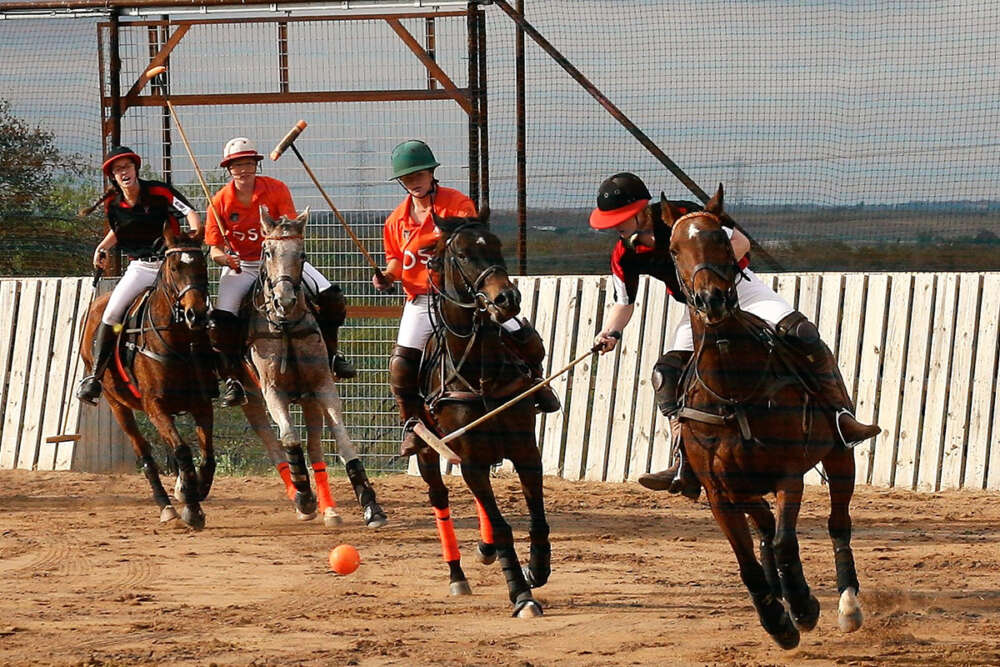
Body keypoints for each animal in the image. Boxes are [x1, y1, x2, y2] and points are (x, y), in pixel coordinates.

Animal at [80, 227, 215, 528]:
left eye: (202, 266)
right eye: (174, 268)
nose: (196, 315)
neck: (176, 342)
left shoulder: (202, 403)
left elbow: (207, 456)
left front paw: (195, 491)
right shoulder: (155, 406)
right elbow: (183, 451)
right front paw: (191, 507)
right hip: (117, 405)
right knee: (144, 453)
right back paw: (166, 506)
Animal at [238, 209, 386, 528]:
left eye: (302, 253)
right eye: (267, 252)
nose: (284, 300)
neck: (286, 327)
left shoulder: (322, 385)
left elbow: (342, 439)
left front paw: (371, 506)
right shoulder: (272, 390)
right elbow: (289, 438)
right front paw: (305, 498)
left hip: (308, 398)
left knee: (316, 446)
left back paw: (330, 510)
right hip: (250, 396)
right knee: (272, 443)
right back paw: (299, 497)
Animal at [418, 210, 552, 620]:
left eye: (496, 245)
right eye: (462, 254)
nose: (506, 298)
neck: (480, 373)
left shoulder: (526, 450)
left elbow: (537, 516)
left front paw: (537, 568)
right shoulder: (470, 461)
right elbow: (503, 524)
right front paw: (522, 594)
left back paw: (486, 548)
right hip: (427, 452)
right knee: (440, 498)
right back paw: (457, 575)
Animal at [664, 185, 860, 648]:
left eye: (721, 238)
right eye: (674, 249)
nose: (711, 300)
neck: (735, 391)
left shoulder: (789, 473)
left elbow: (787, 541)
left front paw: (803, 607)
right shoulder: (720, 493)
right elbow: (749, 560)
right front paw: (777, 620)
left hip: (839, 455)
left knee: (837, 523)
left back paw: (847, 605)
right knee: (765, 529)